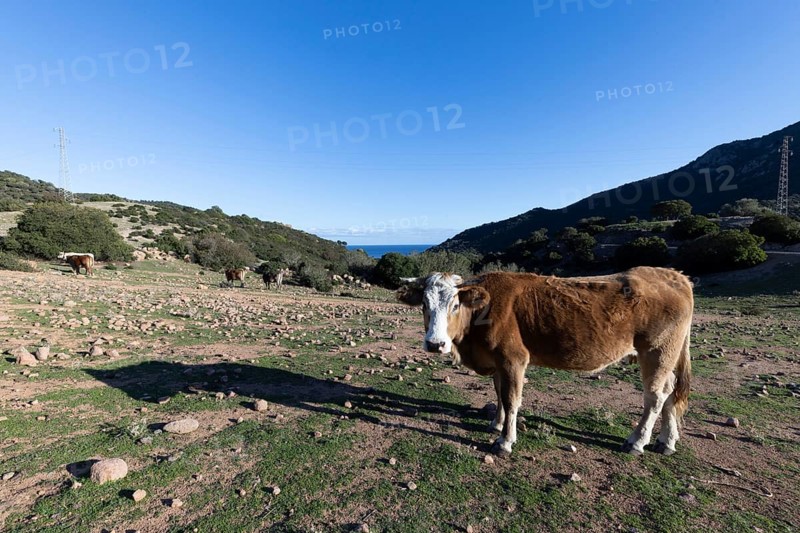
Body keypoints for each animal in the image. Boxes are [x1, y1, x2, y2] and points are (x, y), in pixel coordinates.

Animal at [396, 267, 693, 457]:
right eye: (424, 305)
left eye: (455, 305)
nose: (435, 344)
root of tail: (673, 275)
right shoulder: (498, 362)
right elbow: (499, 393)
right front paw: (496, 423)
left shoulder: (514, 359)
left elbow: (511, 400)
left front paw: (504, 441)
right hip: (667, 356)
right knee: (669, 392)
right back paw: (666, 441)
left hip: (657, 352)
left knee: (655, 397)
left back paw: (636, 442)